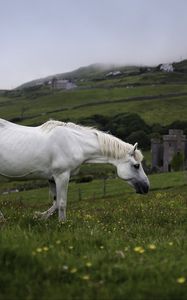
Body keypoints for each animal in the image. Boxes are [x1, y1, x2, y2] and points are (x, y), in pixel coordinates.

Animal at [0, 119, 149, 220]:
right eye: (136, 165)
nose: (146, 187)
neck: (75, 143)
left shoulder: (52, 178)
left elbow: (55, 203)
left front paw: (40, 217)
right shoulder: (62, 176)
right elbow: (61, 203)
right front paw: (62, 223)